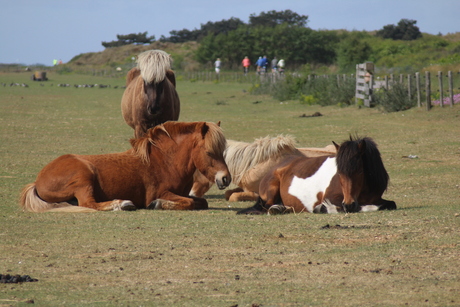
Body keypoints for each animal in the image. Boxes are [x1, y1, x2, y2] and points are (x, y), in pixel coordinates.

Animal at [19, 121, 232, 213]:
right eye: (209, 152)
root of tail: (37, 181)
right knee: (89, 203)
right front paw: (157, 204)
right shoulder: (161, 192)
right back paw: (121, 204)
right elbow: (188, 203)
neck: (165, 162)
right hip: (84, 177)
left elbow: (200, 202)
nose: (226, 178)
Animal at [237, 138, 396, 217]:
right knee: (265, 208)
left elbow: (390, 204)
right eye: (339, 172)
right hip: (270, 193)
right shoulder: (332, 198)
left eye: (360, 171)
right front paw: (322, 208)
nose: (349, 204)